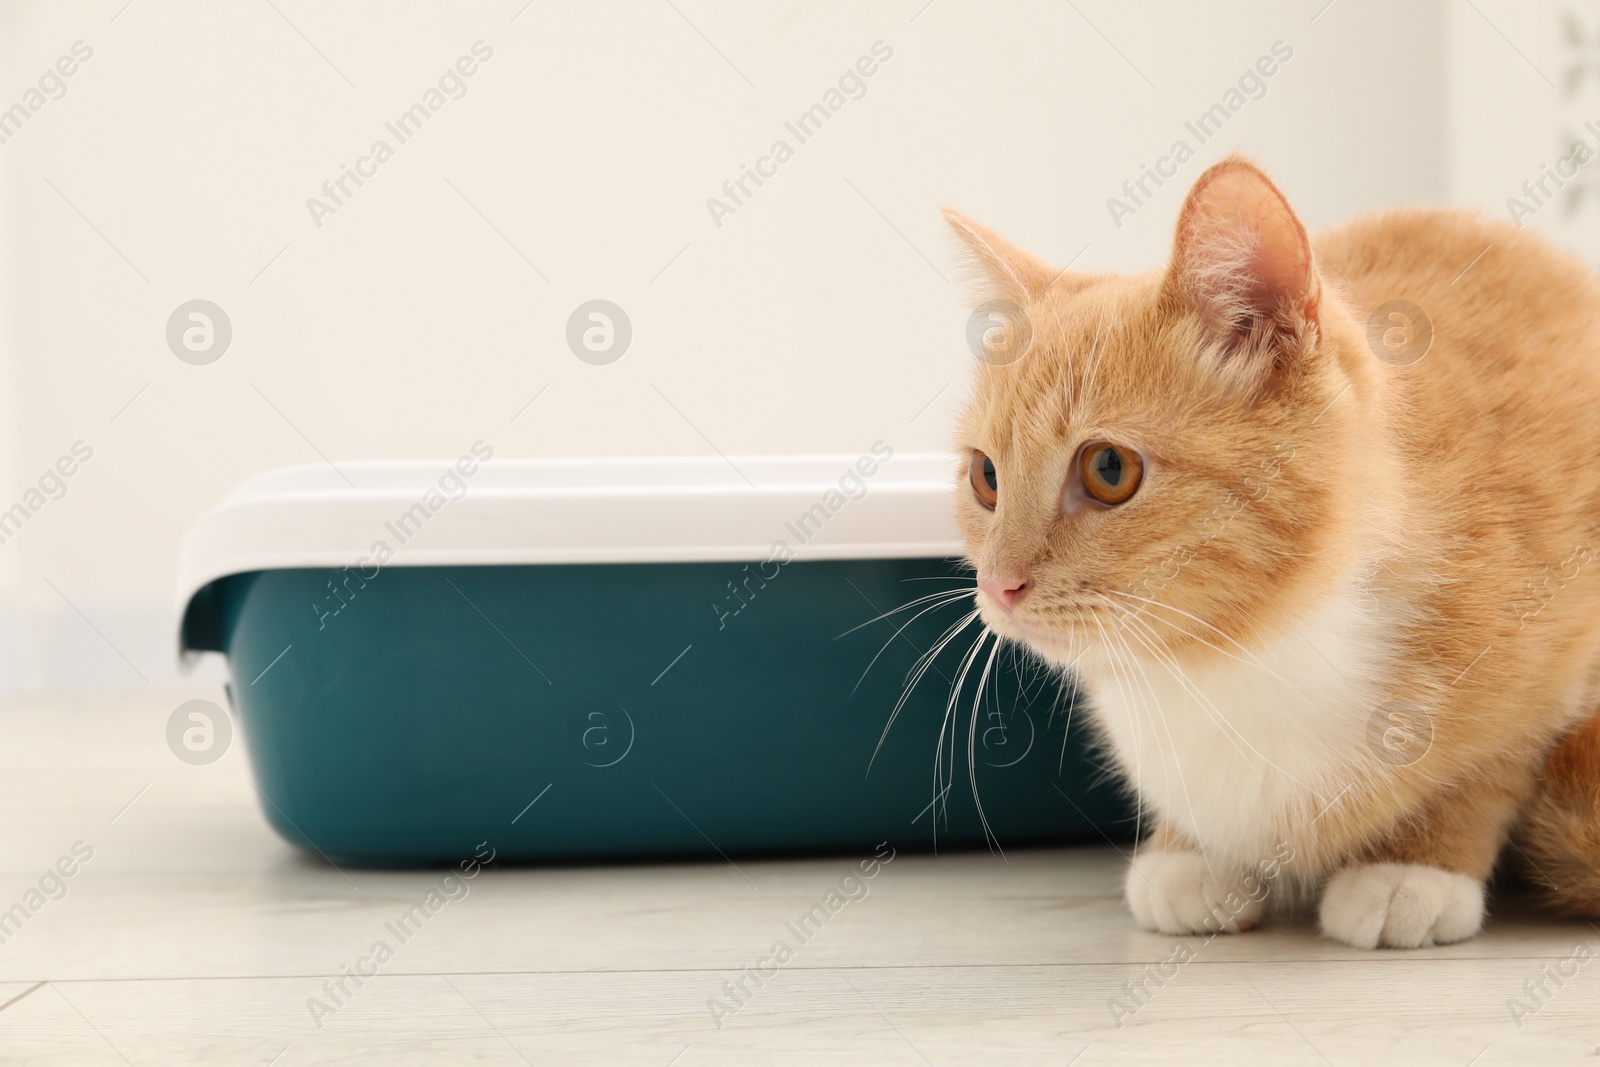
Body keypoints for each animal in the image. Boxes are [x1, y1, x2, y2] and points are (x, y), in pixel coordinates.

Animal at [940, 154, 1600, 947]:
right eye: (985, 477)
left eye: (1108, 469)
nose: (998, 584)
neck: (1238, 659)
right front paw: (1190, 852)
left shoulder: (1561, 650)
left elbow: (1492, 766)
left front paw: (1415, 864)